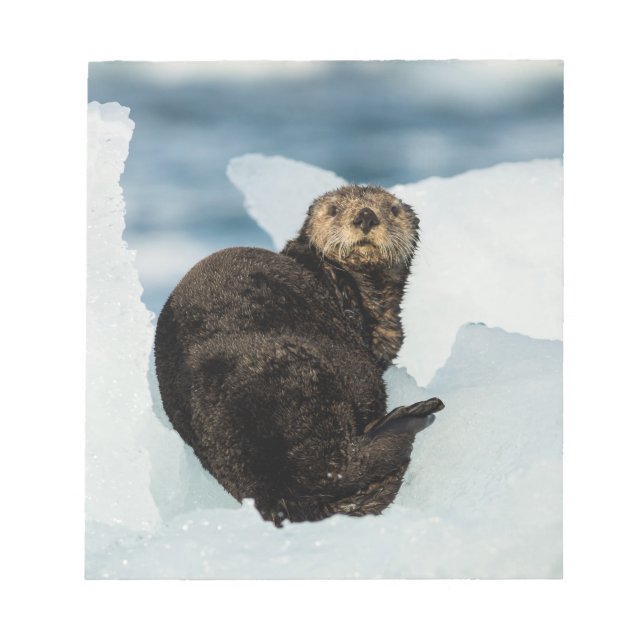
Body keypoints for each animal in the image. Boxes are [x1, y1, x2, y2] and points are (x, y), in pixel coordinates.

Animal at [154, 185, 444, 526]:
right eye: (334, 209)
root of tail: (276, 489)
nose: (365, 216)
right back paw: (412, 415)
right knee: (343, 463)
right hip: (313, 378)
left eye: (392, 210)